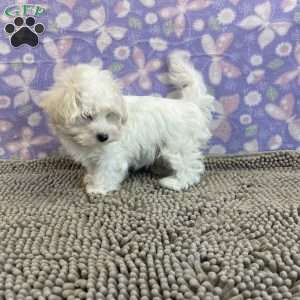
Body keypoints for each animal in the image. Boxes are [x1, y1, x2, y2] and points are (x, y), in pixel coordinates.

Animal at [41, 54, 216, 195]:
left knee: (189, 165)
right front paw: (91, 178)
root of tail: (190, 104)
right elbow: (94, 168)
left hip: (179, 145)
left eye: (110, 115)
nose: (104, 136)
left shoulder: (112, 154)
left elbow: (107, 170)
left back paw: (176, 182)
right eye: (87, 116)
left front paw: (98, 188)